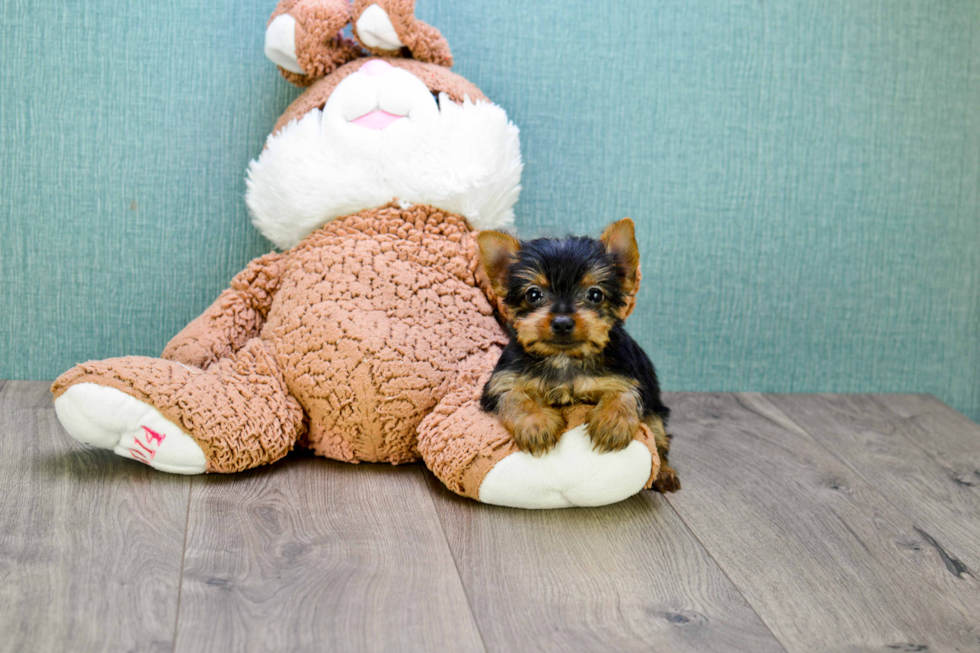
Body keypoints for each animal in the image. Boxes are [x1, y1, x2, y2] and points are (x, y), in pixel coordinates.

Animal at [476, 216, 680, 492]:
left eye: (595, 294)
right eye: (533, 294)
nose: (562, 322)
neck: (564, 358)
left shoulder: (626, 376)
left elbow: (623, 393)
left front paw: (612, 423)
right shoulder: (502, 381)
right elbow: (514, 396)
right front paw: (535, 424)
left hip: (656, 411)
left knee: (659, 439)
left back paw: (665, 473)